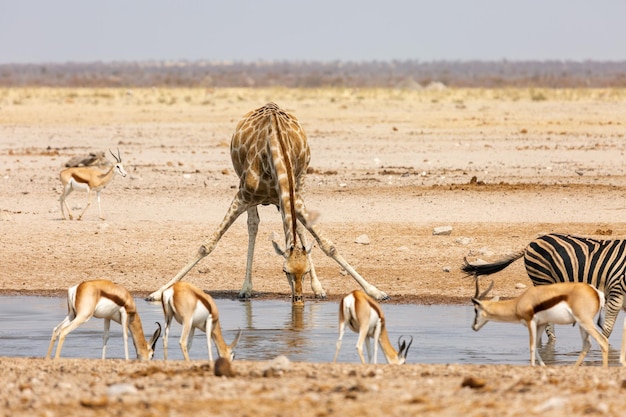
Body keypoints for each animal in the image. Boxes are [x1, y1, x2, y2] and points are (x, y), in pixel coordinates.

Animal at [148, 102, 388, 304]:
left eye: (304, 272)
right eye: (285, 271)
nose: (298, 299)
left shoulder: (294, 197)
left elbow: (328, 245)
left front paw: (376, 291)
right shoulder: (242, 196)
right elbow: (207, 245)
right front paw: (158, 292)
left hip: (298, 183)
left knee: (299, 230)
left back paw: (318, 289)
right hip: (251, 191)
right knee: (253, 225)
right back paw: (246, 288)